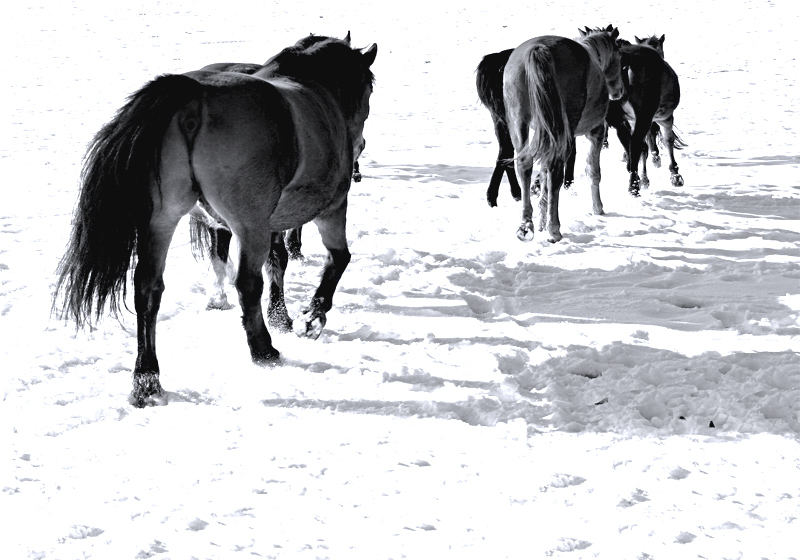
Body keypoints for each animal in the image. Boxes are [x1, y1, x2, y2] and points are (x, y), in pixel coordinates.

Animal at [54, 35, 378, 406]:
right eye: (369, 89)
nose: (360, 145)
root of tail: (193, 95)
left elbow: (278, 261)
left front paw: (283, 316)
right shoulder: (330, 207)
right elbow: (337, 259)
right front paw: (312, 316)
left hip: (162, 219)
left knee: (148, 288)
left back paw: (146, 379)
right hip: (249, 225)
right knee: (247, 283)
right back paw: (263, 350)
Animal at [500, 25, 624, 242]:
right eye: (618, 55)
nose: (619, 91)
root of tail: (539, 49)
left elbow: (542, 177)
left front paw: (541, 220)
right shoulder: (596, 132)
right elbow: (593, 170)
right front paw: (598, 208)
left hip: (519, 121)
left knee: (525, 165)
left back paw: (526, 225)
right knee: (555, 170)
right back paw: (554, 229)